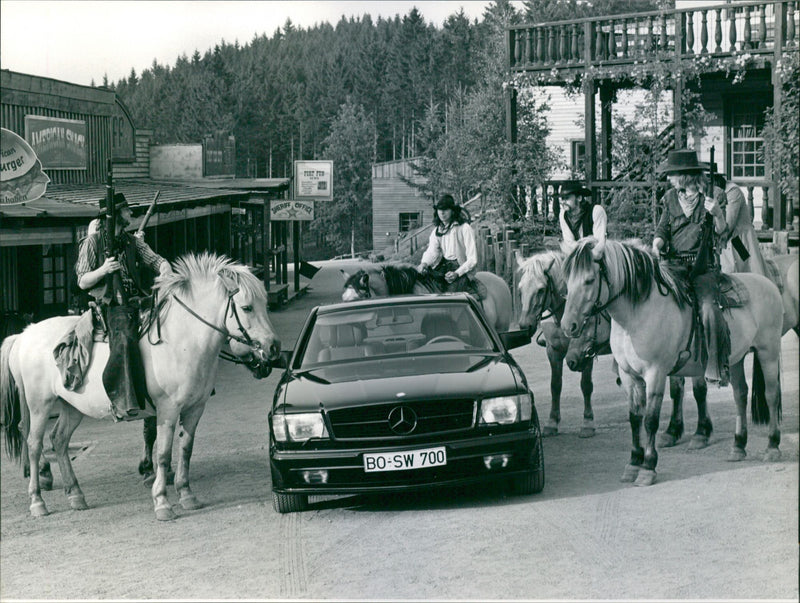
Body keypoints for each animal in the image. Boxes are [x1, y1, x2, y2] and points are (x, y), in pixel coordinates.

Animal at [1, 252, 280, 520]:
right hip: (39, 405)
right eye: (246, 307)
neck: (181, 341)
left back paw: (76, 496)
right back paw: (38, 501)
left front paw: (187, 495)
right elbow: (164, 454)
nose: (273, 348)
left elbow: (186, 450)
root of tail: (24, 334)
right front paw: (162, 502)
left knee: (58, 439)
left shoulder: (195, 409)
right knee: (34, 443)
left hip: (71, 406)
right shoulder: (167, 409)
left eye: (265, 304)